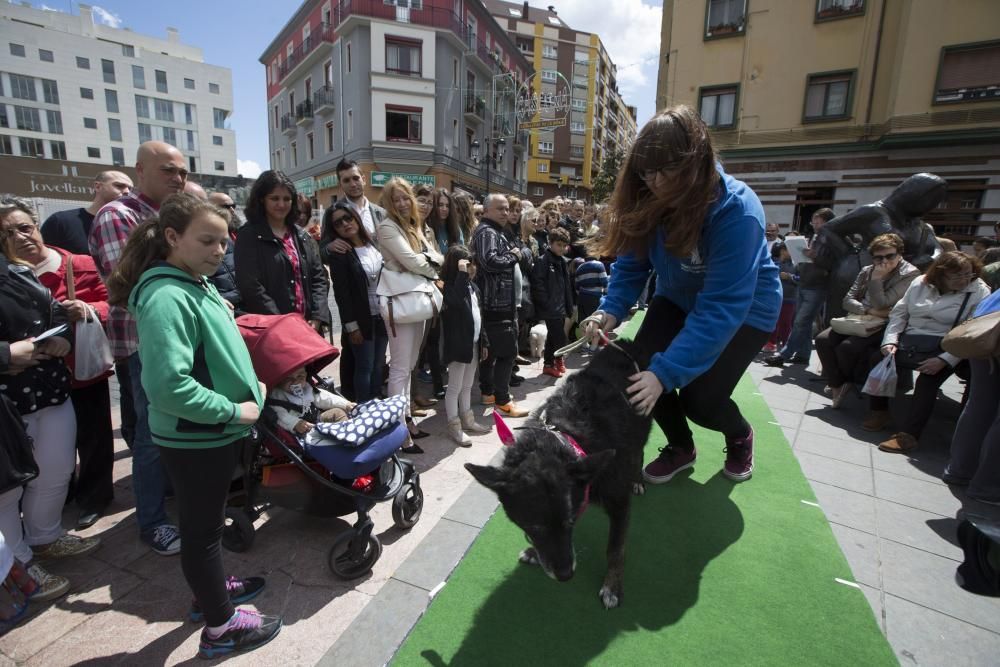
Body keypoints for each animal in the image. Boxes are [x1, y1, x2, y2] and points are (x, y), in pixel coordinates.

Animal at [464, 342, 652, 608]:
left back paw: (636, 480)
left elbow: (616, 549)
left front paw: (612, 586)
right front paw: (534, 552)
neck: (564, 437)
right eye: (533, 527)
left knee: (638, 452)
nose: (565, 576)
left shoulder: (619, 502)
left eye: (570, 522)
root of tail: (626, 345)